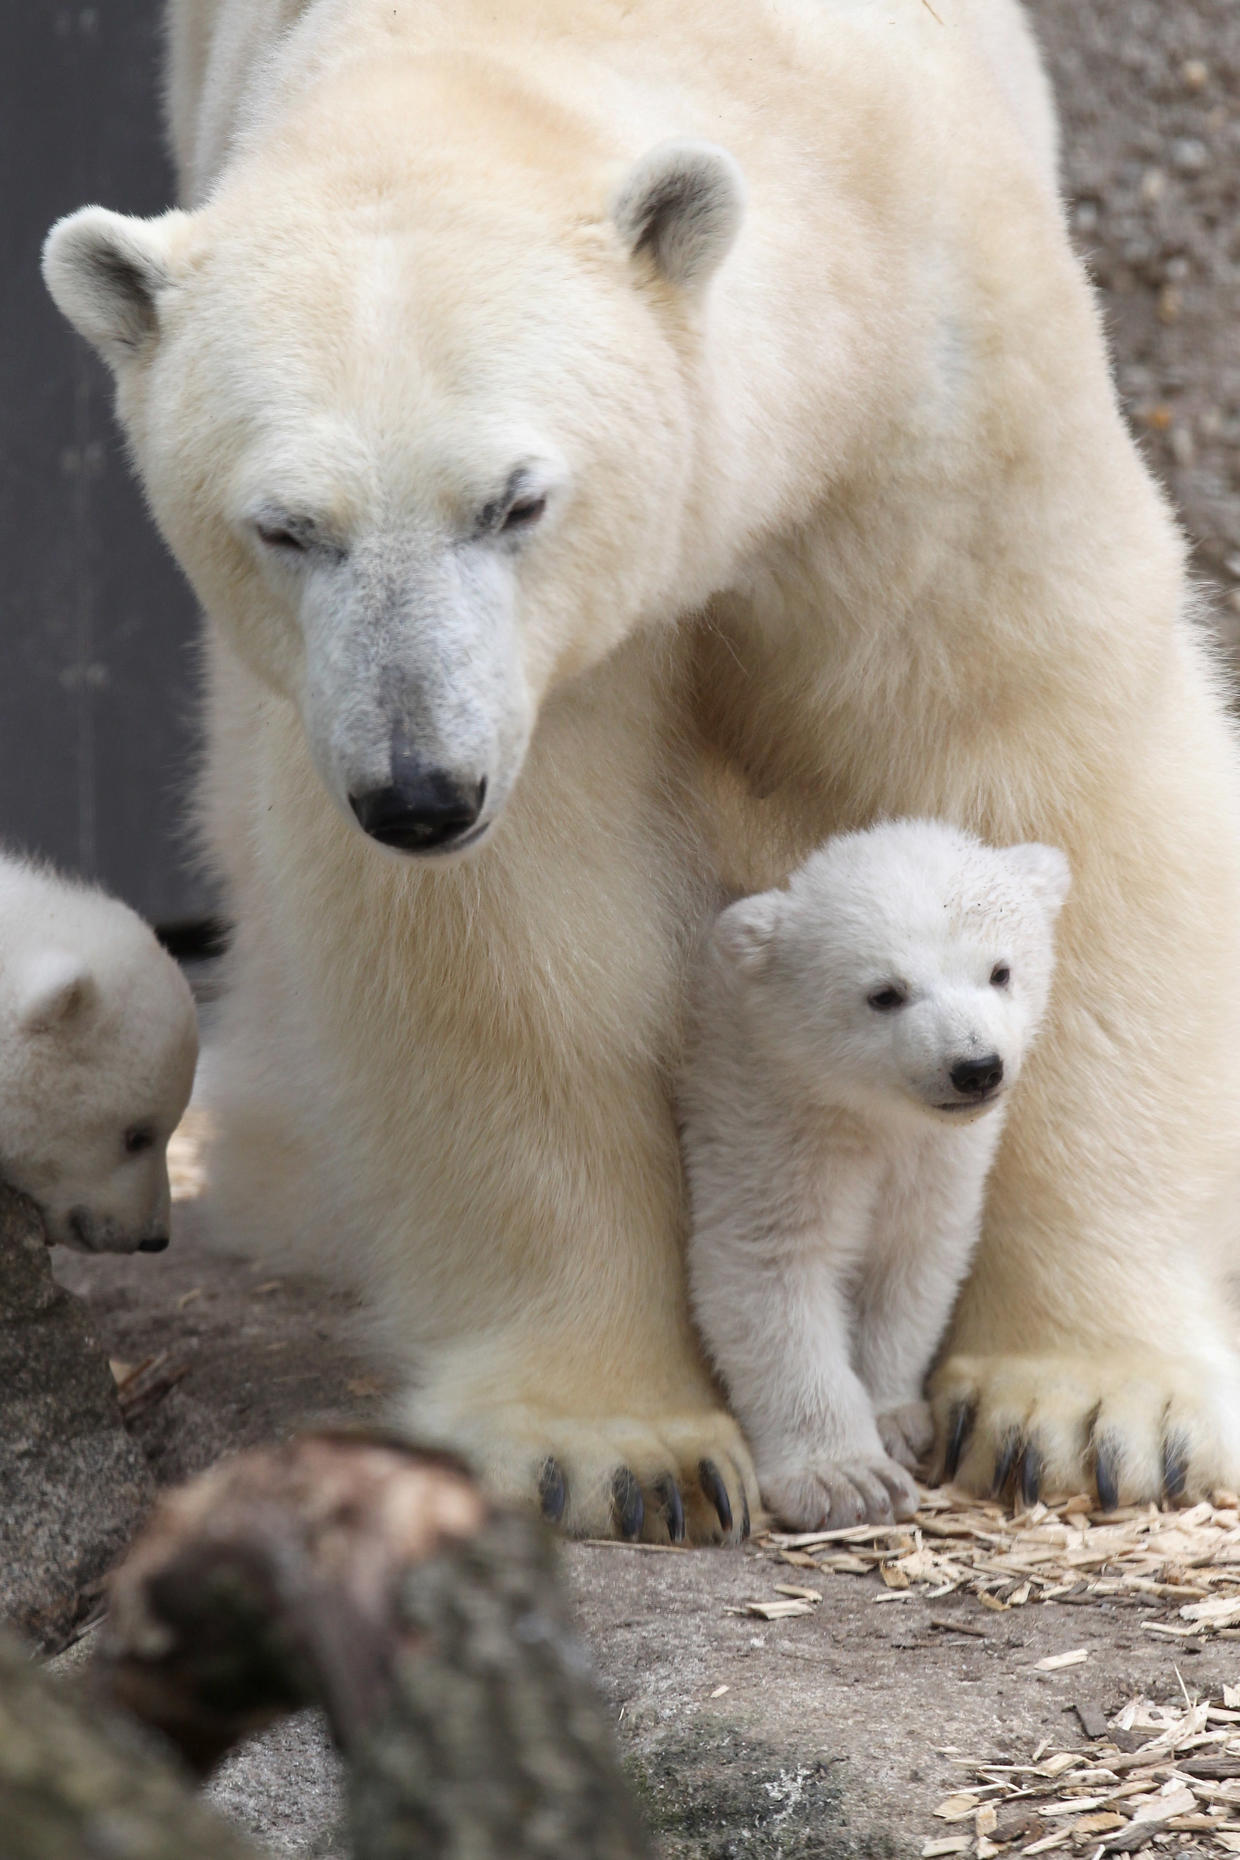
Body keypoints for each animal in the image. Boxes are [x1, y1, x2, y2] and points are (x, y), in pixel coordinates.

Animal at [48, 0, 1240, 1540]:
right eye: (287, 526)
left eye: (516, 500)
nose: (418, 793)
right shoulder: (504, 697)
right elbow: (511, 941)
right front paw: (620, 1447)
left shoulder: (937, 393)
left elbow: (1047, 757)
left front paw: (1091, 1410)